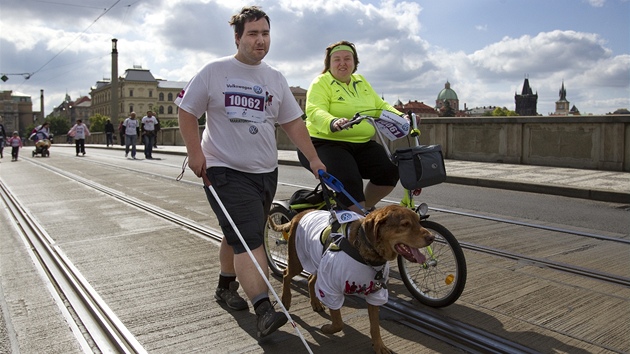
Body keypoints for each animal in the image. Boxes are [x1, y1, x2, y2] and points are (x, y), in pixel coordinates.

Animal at [266, 205, 434, 354]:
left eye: (418, 221)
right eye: (405, 224)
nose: (432, 237)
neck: (368, 255)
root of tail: (299, 215)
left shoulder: (376, 293)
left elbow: (375, 327)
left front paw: (379, 346)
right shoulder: (330, 288)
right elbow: (338, 323)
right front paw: (327, 329)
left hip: (317, 261)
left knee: (311, 279)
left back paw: (315, 303)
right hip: (298, 261)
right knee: (286, 274)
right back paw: (286, 299)